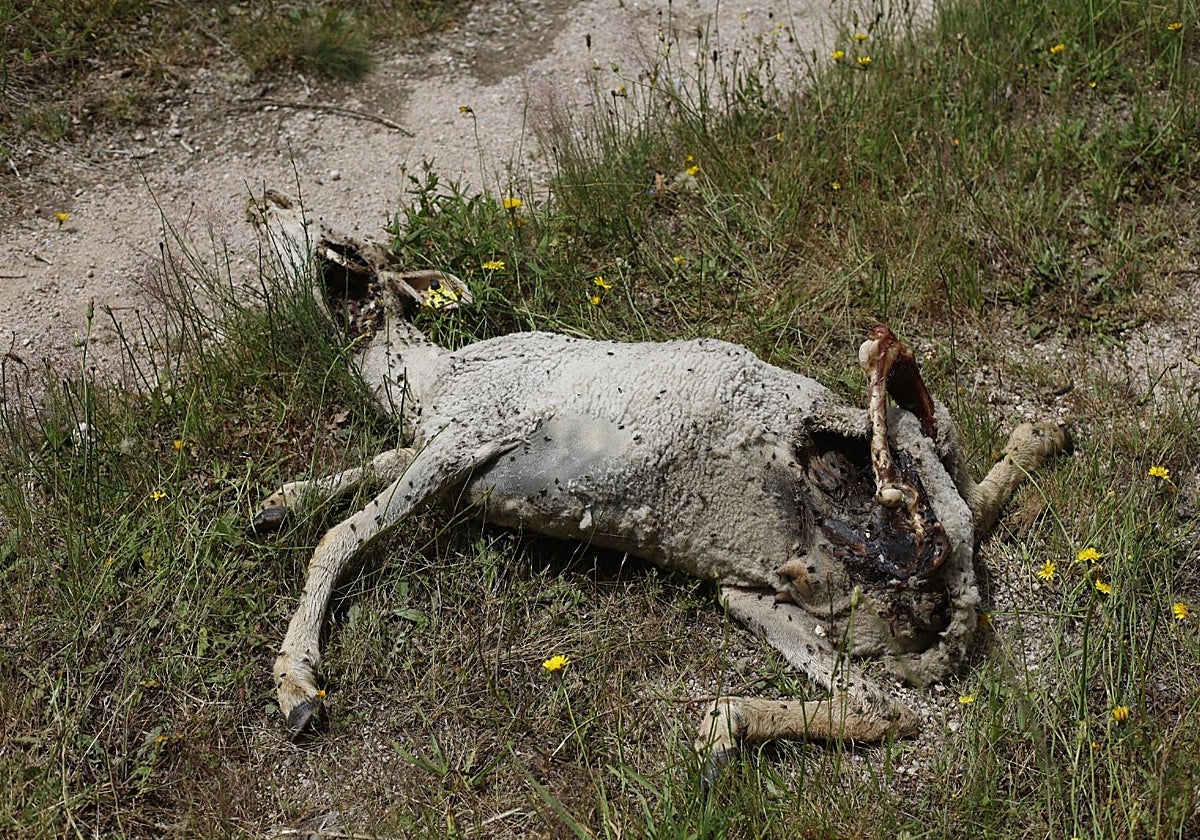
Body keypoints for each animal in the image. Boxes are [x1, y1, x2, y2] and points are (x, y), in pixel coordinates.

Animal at [246, 191, 1070, 774]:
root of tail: (956, 603)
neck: (427, 378)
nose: (269, 201)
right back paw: (731, 723)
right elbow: (366, 476)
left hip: (878, 467)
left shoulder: (471, 433)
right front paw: (276, 504)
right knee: (889, 704)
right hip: (774, 600)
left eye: (331, 231)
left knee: (913, 464)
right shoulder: (438, 447)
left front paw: (298, 689)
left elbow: (341, 535)